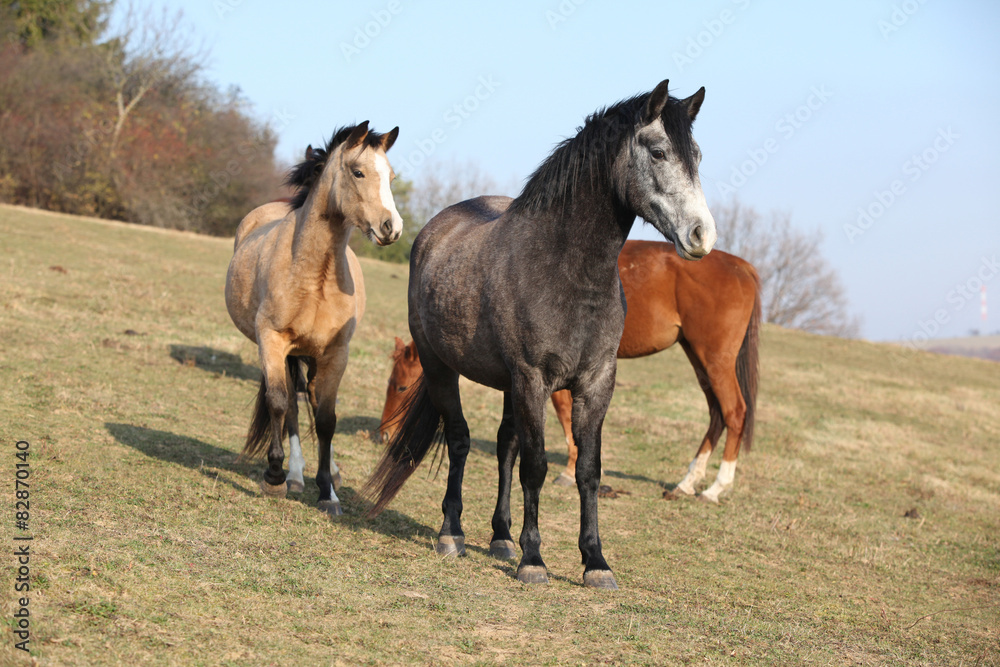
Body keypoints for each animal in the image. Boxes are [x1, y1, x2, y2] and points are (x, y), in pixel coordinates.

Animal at [225, 122, 400, 520]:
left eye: (391, 176)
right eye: (358, 172)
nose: (391, 227)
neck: (315, 275)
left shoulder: (335, 354)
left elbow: (327, 419)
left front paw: (327, 493)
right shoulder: (273, 341)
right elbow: (279, 403)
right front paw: (275, 477)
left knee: (313, 403)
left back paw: (328, 474)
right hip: (287, 354)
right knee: (291, 405)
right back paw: (293, 475)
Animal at [380, 239, 756, 500]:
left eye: (400, 387)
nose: (383, 434)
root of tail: (742, 266)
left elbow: (563, 414)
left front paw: (571, 467)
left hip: (715, 359)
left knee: (735, 412)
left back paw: (716, 487)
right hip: (698, 356)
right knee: (716, 414)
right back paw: (687, 482)